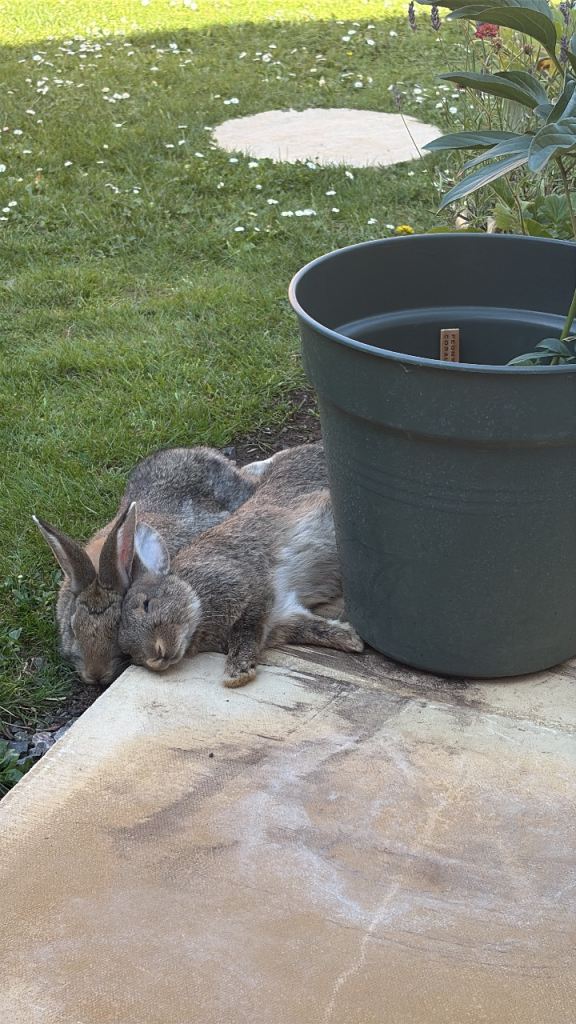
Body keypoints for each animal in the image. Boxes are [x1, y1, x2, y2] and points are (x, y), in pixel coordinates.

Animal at [119, 442, 364, 688]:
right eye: (129, 652)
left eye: (147, 604)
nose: (155, 658)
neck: (193, 589)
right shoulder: (282, 616)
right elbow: (309, 628)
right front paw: (351, 639)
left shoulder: (250, 589)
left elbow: (245, 633)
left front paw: (237, 675)